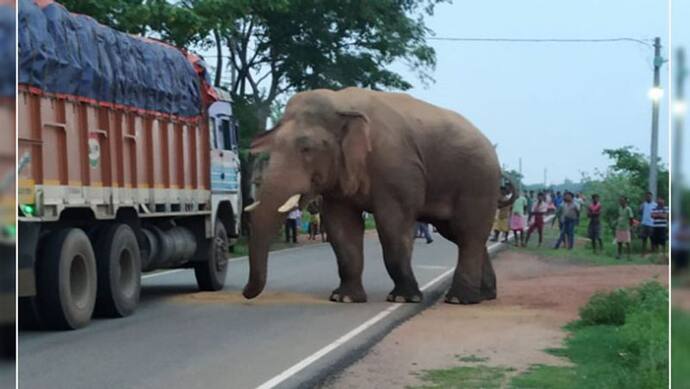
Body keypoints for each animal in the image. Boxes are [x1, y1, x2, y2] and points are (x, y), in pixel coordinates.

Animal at [242, 87, 510, 304]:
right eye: (272, 148)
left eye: (306, 148)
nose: (246, 293)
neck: (342, 102)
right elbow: (342, 229)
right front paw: (344, 298)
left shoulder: (397, 170)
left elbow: (393, 228)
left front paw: (403, 298)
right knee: (458, 234)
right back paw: (484, 295)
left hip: (479, 182)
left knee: (468, 232)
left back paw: (458, 299)